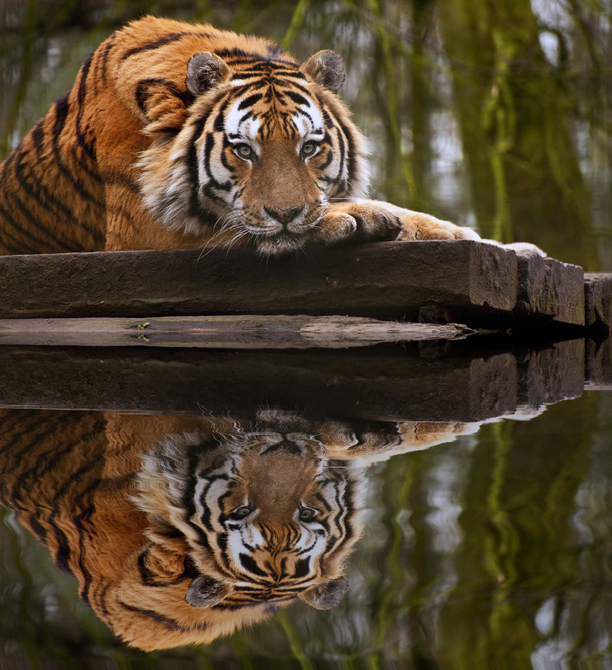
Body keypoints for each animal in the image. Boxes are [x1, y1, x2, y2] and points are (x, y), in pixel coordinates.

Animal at [0, 16, 482, 258]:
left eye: (309, 147)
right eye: (244, 150)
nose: (286, 214)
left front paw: (457, 233)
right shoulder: (143, 233)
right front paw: (358, 217)